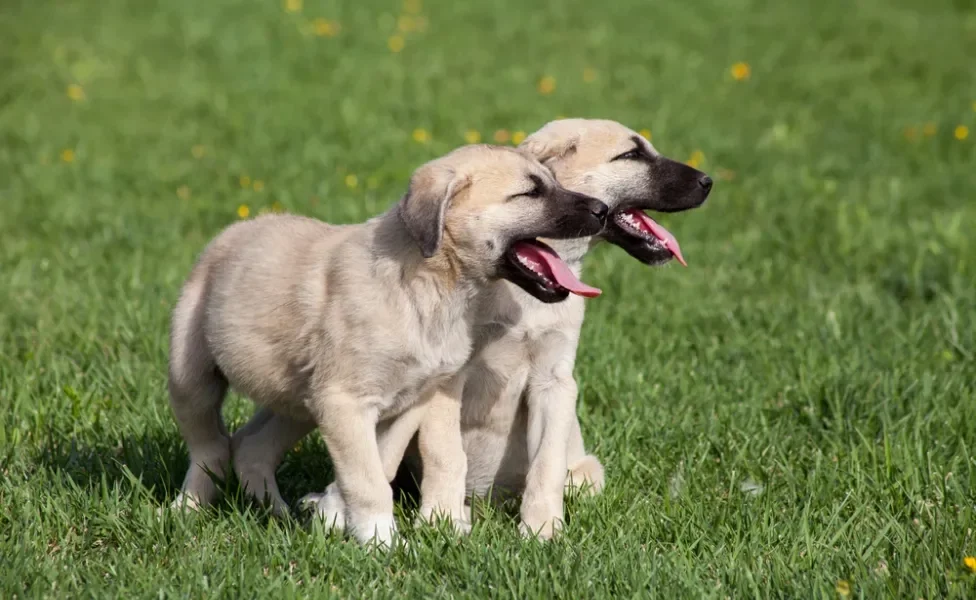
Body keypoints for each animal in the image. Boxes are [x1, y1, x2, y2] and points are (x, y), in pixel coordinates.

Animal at [169, 143, 608, 548]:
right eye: (529, 192)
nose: (602, 209)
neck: (429, 288)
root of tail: (234, 231)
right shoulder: (345, 401)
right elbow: (367, 479)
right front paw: (382, 543)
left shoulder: (405, 404)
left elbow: (378, 467)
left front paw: (346, 523)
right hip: (191, 375)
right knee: (209, 447)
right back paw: (186, 510)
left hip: (298, 398)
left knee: (251, 445)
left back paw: (274, 511)